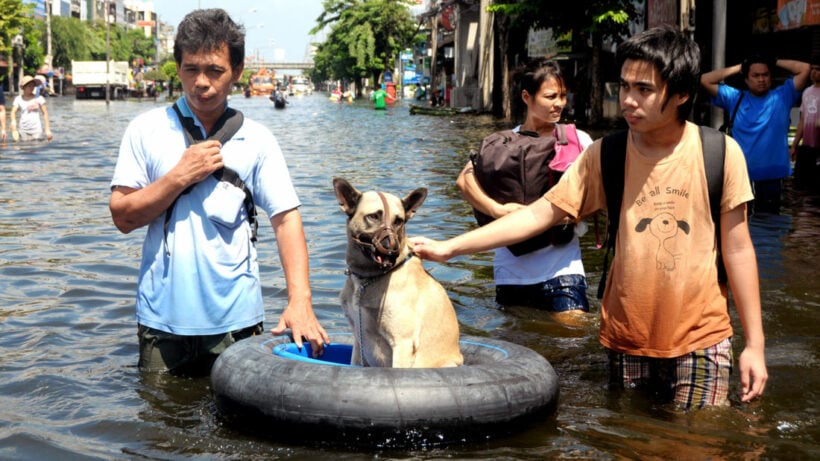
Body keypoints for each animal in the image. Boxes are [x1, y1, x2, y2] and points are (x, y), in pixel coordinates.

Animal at [332, 178, 462, 368]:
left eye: (398, 221)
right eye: (374, 216)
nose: (392, 250)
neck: (366, 280)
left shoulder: (403, 343)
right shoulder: (357, 340)